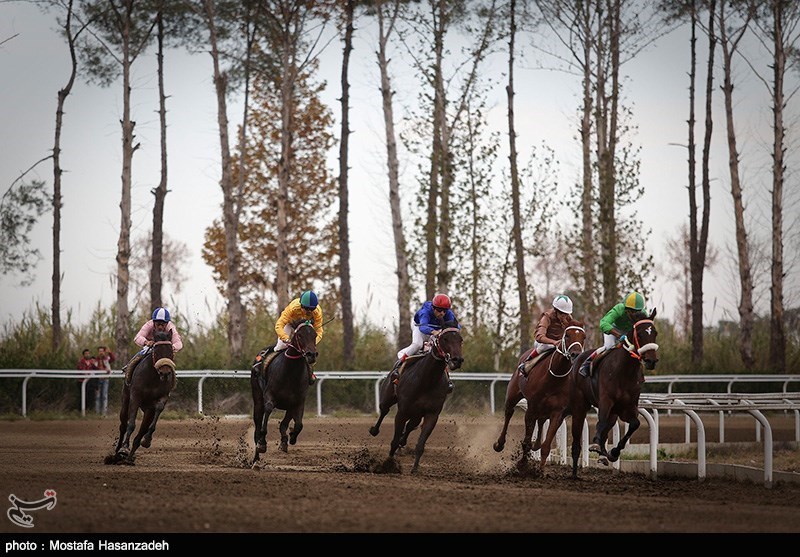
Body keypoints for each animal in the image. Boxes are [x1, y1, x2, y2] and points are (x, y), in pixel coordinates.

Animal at [107, 328, 176, 462]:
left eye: (170, 351)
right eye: (156, 350)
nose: (165, 373)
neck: (153, 378)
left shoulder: (163, 397)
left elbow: (158, 409)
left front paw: (147, 440)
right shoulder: (135, 396)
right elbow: (131, 424)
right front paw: (124, 448)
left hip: (148, 410)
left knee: (142, 430)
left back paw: (130, 456)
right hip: (125, 399)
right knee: (123, 425)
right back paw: (119, 451)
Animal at [248, 318, 318, 464]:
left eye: (315, 335)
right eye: (299, 335)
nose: (311, 355)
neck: (290, 372)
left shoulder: (297, 402)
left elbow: (298, 425)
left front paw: (290, 437)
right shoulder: (269, 396)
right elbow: (268, 413)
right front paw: (262, 443)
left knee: (284, 424)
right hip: (257, 399)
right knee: (257, 426)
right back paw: (256, 458)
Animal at [368, 326, 462, 474]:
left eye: (460, 340)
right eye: (445, 339)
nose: (457, 360)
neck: (427, 381)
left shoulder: (432, 414)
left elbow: (420, 443)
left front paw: (415, 468)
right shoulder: (402, 412)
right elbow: (394, 441)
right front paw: (388, 464)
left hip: (417, 414)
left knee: (410, 426)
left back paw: (403, 441)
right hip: (388, 397)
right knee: (384, 411)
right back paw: (374, 430)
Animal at [490, 320, 584, 472]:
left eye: (583, 337)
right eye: (567, 335)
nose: (576, 354)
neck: (554, 378)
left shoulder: (557, 412)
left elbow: (546, 445)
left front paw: (540, 471)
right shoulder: (531, 408)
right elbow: (526, 441)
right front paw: (522, 464)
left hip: (543, 409)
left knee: (540, 422)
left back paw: (536, 444)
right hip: (513, 395)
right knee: (509, 413)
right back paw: (499, 444)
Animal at [564, 306, 660, 476]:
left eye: (654, 332)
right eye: (639, 334)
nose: (651, 360)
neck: (625, 372)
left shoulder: (628, 406)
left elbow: (634, 424)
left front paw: (614, 452)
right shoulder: (606, 400)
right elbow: (601, 420)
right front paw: (596, 445)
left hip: (614, 412)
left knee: (609, 425)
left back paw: (603, 453)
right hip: (581, 402)